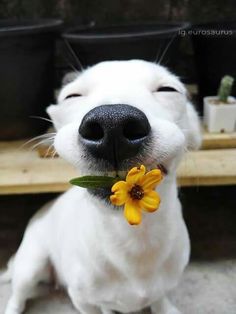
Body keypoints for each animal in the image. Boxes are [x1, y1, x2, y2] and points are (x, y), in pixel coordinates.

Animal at [1, 60, 201, 312]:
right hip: (30, 265)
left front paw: (164, 307)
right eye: (72, 95)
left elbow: (159, 297)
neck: (132, 236)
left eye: (168, 89)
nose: (112, 122)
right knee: (18, 295)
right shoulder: (81, 299)